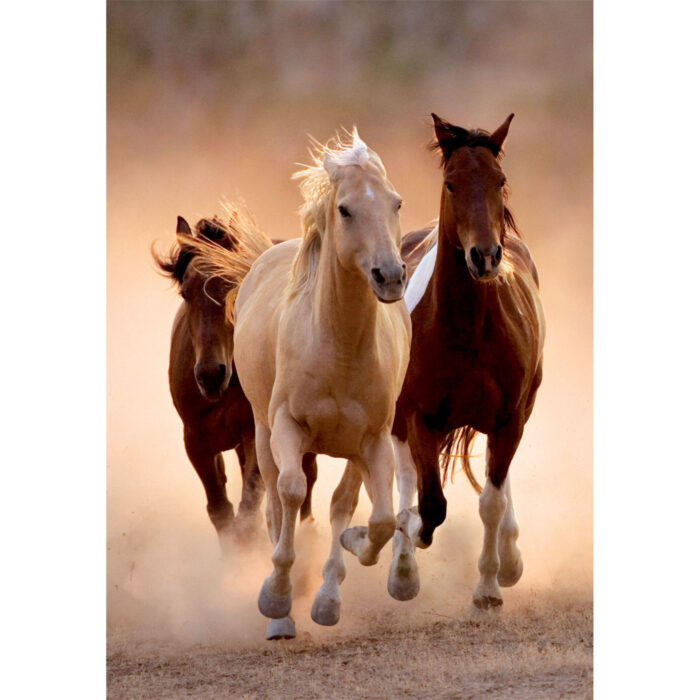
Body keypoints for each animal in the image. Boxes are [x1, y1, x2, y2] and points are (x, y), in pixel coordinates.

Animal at [152, 212, 318, 554]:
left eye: (233, 285)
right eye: (185, 292)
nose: (210, 374)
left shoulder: (254, 433)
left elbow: (249, 509)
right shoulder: (196, 440)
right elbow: (221, 511)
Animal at [188, 129, 411, 639]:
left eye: (396, 203)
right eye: (345, 209)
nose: (390, 276)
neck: (339, 347)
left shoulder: (373, 441)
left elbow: (377, 518)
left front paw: (348, 556)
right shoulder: (286, 427)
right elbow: (289, 494)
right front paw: (276, 597)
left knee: (341, 503)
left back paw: (326, 594)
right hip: (262, 434)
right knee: (275, 500)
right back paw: (282, 614)